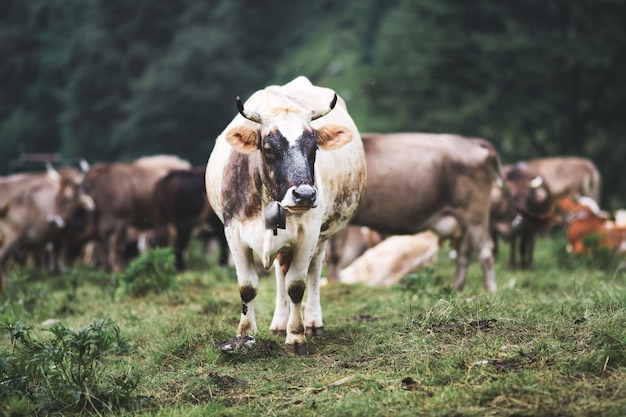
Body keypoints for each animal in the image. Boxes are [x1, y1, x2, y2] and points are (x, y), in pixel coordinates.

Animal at [205, 75, 366, 354]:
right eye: (269, 148)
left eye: (314, 148)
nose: (305, 195)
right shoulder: (233, 232)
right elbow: (248, 287)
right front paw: (244, 335)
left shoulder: (309, 233)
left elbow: (296, 285)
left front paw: (297, 337)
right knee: (281, 271)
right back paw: (279, 322)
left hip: (321, 237)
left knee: (313, 272)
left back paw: (312, 322)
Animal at [326, 132, 498, 292]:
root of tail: (470, 143)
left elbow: (335, 255)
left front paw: (333, 286)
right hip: (463, 222)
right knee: (464, 253)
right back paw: (456, 287)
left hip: (475, 214)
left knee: (485, 252)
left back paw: (490, 290)